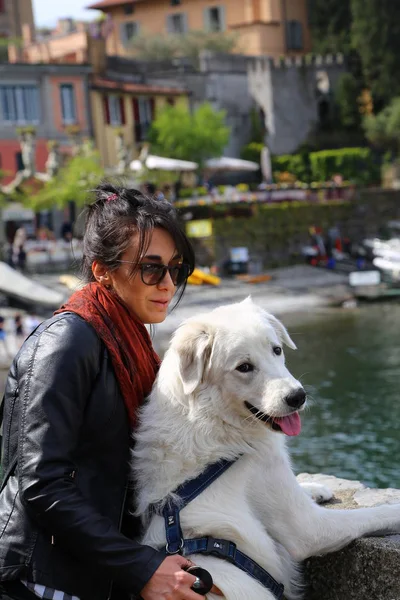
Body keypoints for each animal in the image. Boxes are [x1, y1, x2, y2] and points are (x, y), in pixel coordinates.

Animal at [134, 300, 400, 600]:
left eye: (277, 350)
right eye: (244, 367)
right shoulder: (308, 526)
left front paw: (315, 487)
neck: (214, 419)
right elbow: (377, 513)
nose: (298, 397)